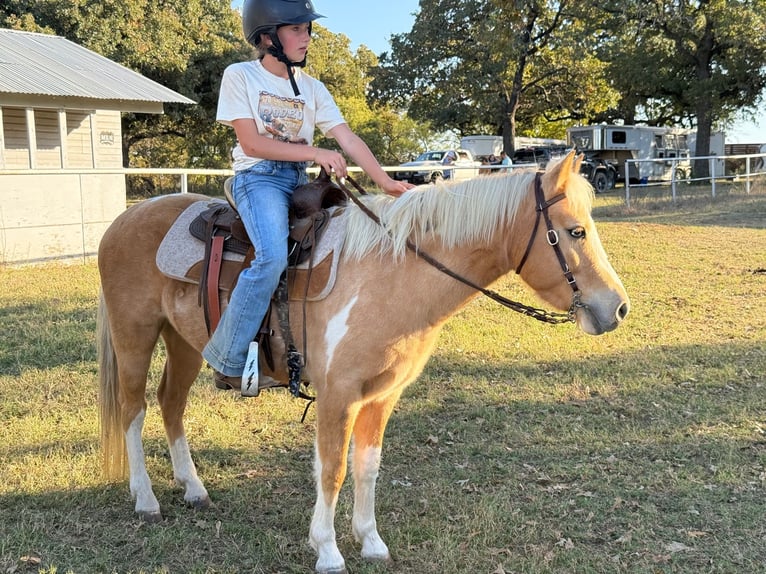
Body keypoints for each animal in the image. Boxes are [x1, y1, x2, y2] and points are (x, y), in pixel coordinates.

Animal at [97, 151, 629, 574]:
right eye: (576, 231)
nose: (618, 308)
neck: (391, 273)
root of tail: (122, 221)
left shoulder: (382, 394)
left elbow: (367, 467)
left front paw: (371, 542)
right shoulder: (338, 396)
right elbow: (332, 469)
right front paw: (328, 551)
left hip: (185, 343)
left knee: (170, 404)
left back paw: (193, 488)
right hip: (134, 336)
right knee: (133, 410)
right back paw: (146, 499)